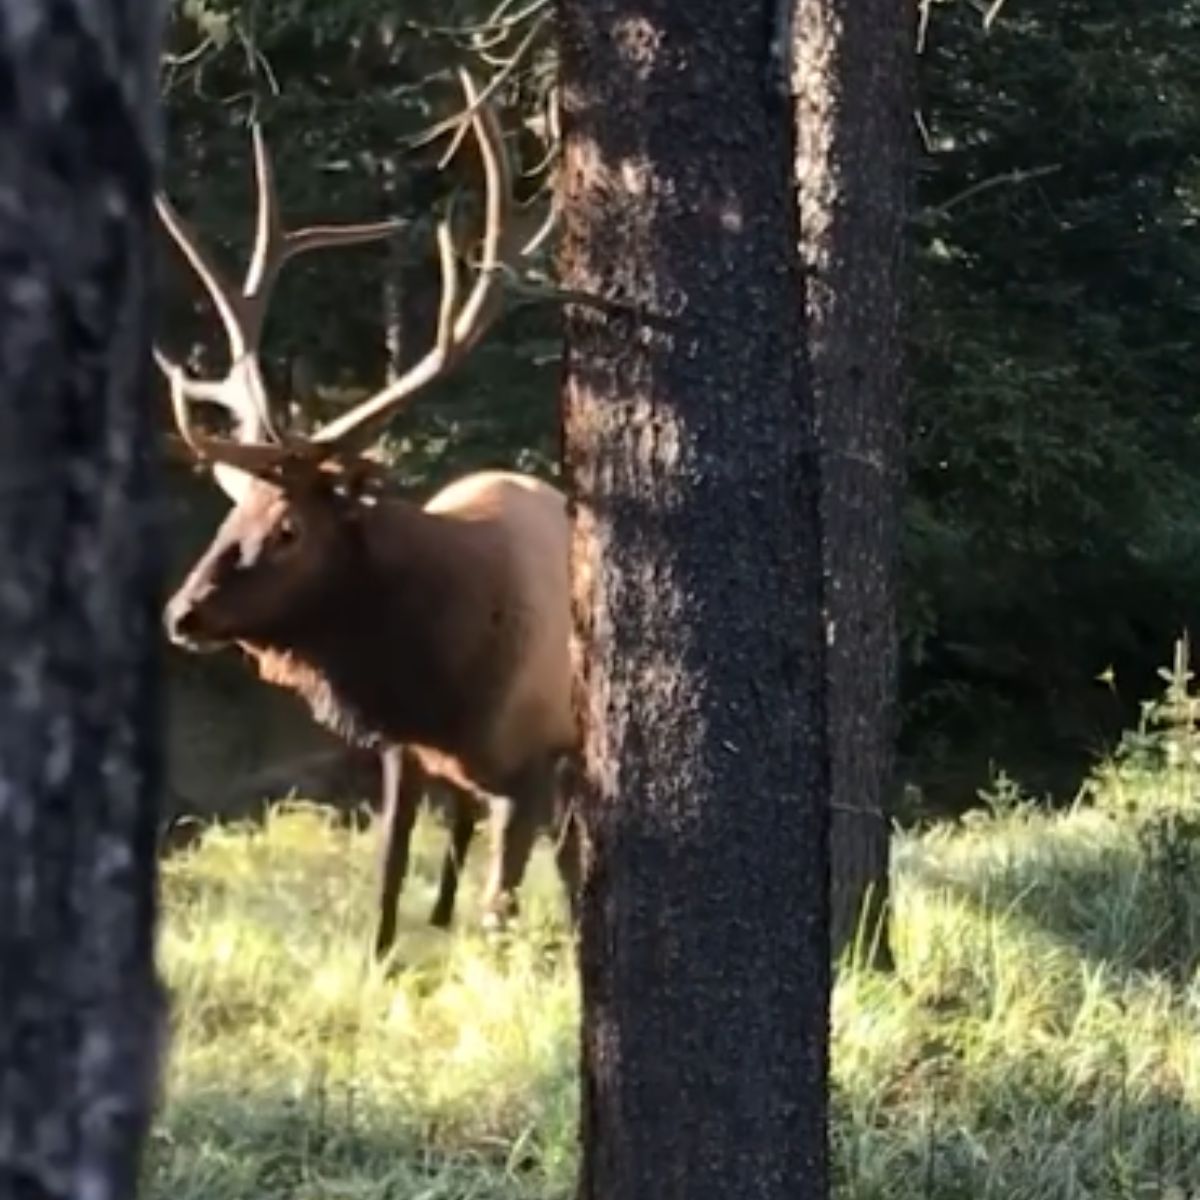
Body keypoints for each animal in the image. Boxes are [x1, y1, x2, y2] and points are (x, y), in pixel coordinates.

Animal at [157, 72, 578, 955]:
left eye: (288, 529)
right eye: (230, 516)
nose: (181, 613)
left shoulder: (533, 762)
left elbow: (501, 904)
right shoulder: (402, 752)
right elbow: (388, 882)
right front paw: (383, 962)